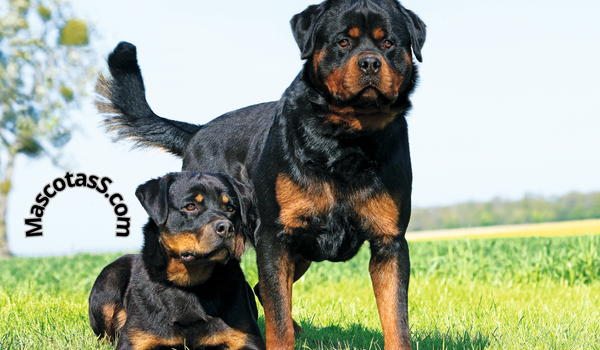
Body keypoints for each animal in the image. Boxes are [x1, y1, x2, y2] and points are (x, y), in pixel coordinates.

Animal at [88, 172, 264, 350]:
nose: (226, 228)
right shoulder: (135, 340)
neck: (191, 284)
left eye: (230, 208)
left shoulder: (246, 338)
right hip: (109, 280)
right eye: (190, 206)